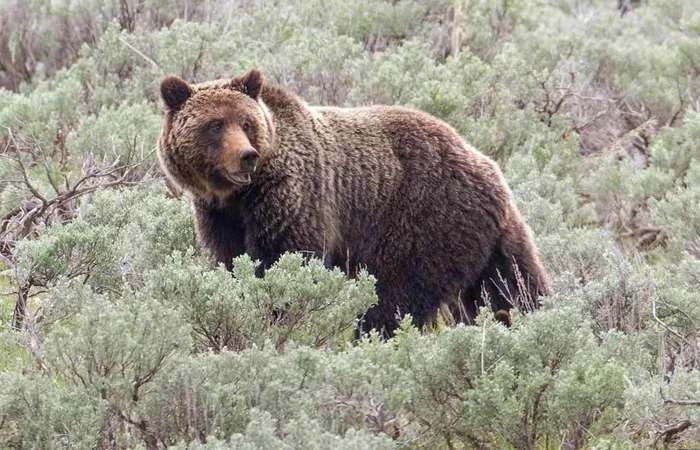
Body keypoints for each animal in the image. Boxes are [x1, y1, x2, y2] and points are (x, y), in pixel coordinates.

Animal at [157, 69, 550, 337]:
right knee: (511, 285)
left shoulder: (294, 197)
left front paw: (279, 315)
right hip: (485, 238)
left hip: (423, 221)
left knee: (395, 297)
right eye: (215, 125)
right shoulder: (219, 216)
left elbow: (285, 259)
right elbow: (231, 261)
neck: (238, 196)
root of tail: (489, 168)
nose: (246, 157)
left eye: (247, 122)